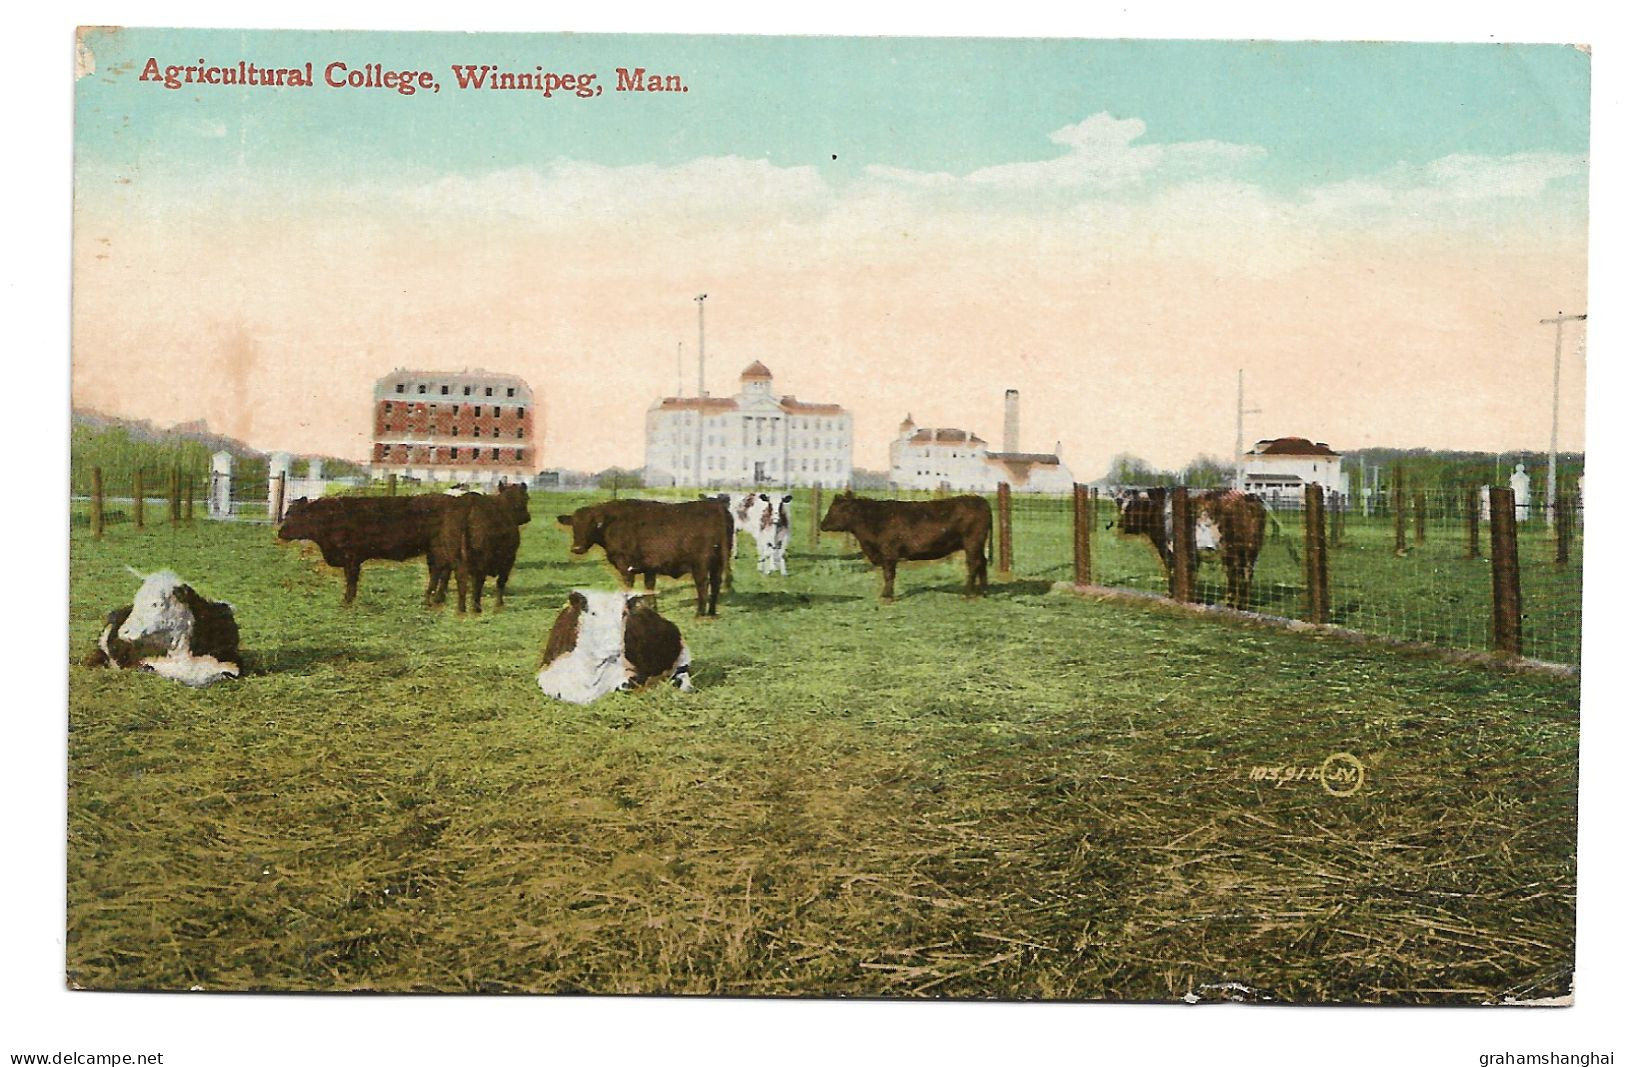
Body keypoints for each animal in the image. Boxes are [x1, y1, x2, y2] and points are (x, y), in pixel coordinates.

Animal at [425, 483, 533, 617]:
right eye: (526, 498)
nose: (527, 517)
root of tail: (468, 505)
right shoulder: (509, 559)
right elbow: (501, 582)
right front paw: (499, 605)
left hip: (454, 557)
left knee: (458, 579)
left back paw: (459, 608)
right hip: (480, 559)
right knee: (477, 580)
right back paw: (476, 608)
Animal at [562, 500, 734, 617]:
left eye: (593, 524)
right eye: (574, 525)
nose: (577, 548)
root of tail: (715, 505)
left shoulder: (626, 565)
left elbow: (628, 588)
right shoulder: (649, 567)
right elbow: (649, 587)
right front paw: (653, 609)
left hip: (701, 563)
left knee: (703, 585)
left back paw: (699, 614)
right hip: (718, 562)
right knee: (716, 584)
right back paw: (711, 613)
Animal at [812, 490, 988, 597]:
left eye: (837, 509)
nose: (822, 525)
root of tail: (978, 499)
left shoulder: (888, 553)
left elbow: (889, 574)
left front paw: (886, 596)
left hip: (972, 543)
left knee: (973, 564)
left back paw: (968, 593)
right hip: (977, 545)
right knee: (982, 563)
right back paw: (982, 590)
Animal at [1118, 483, 1267, 604]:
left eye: (1132, 506)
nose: (1121, 525)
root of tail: (1250, 497)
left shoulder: (1169, 550)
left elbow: (1173, 572)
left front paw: (1172, 595)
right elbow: (1191, 575)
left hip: (1232, 551)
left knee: (1234, 575)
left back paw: (1231, 603)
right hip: (1249, 552)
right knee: (1245, 575)